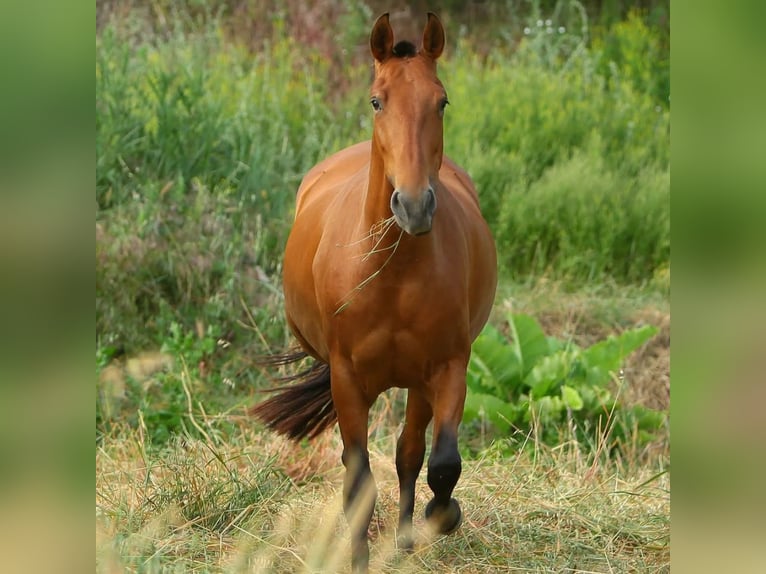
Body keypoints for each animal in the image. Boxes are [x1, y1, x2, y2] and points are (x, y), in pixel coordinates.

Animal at [252, 12, 497, 572]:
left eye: (441, 101)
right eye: (376, 101)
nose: (413, 205)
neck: (393, 276)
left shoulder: (448, 368)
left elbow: (441, 462)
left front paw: (440, 518)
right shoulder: (346, 378)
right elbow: (358, 476)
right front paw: (359, 557)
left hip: (418, 383)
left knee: (410, 452)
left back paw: (407, 536)